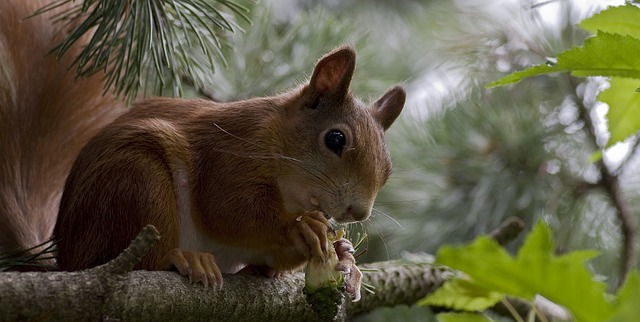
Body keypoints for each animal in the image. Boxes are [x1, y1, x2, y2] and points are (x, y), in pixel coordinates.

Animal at [1, 0, 404, 296]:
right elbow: (226, 209)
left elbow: (272, 259)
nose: (358, 212)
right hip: (135, 180)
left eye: (389, 168)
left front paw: (344, 255)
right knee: (138, 257)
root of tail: (67, 260)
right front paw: (301, 228)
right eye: (335, 139)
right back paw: (185, 259)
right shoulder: (228, 154)